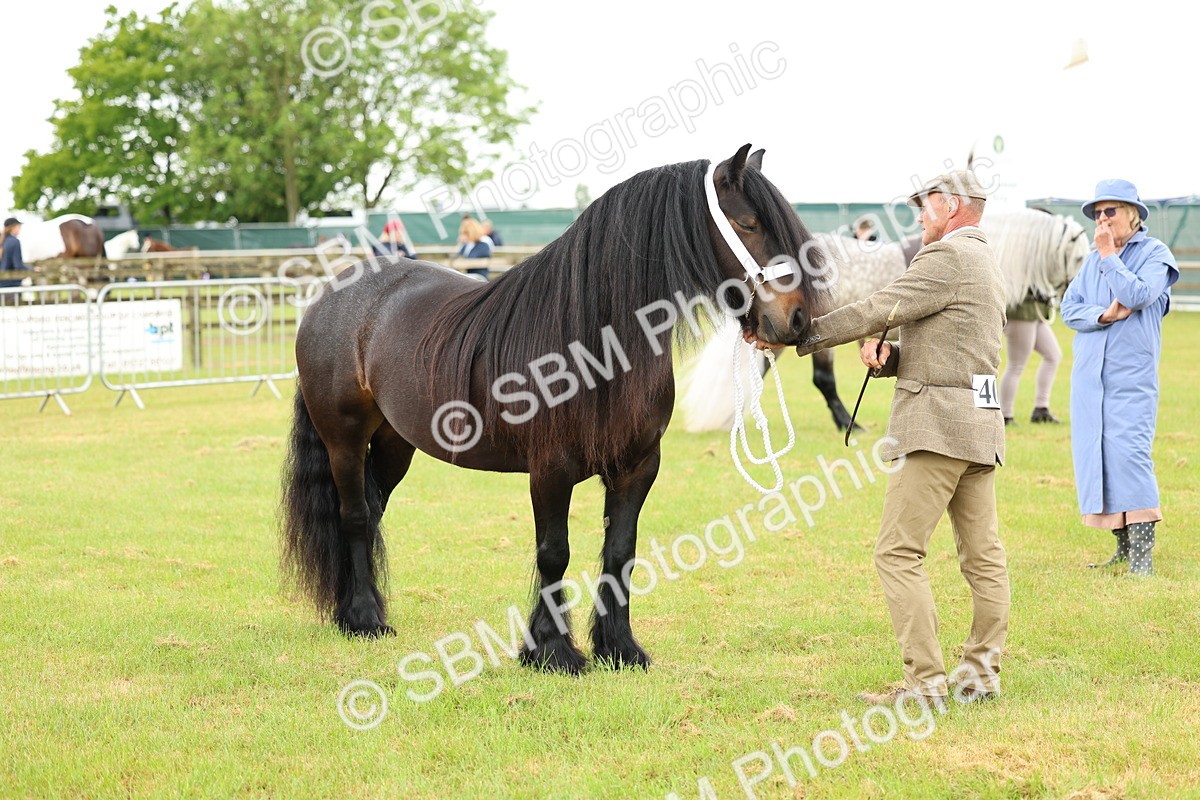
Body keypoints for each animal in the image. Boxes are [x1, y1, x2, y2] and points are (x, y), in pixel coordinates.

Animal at [280, 144, 830, 673]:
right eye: (748, 224)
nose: (798, 319)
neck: (596, 343)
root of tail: (333, 293)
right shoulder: (550, 469)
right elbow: (554, 553)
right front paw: (551, 651)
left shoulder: (638, 467)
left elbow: (621, 551)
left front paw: (619, 649)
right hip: (344, 439)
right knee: (354, 516)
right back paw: (363, 619)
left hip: (395, 442)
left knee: (373, 511)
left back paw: (357, 610)